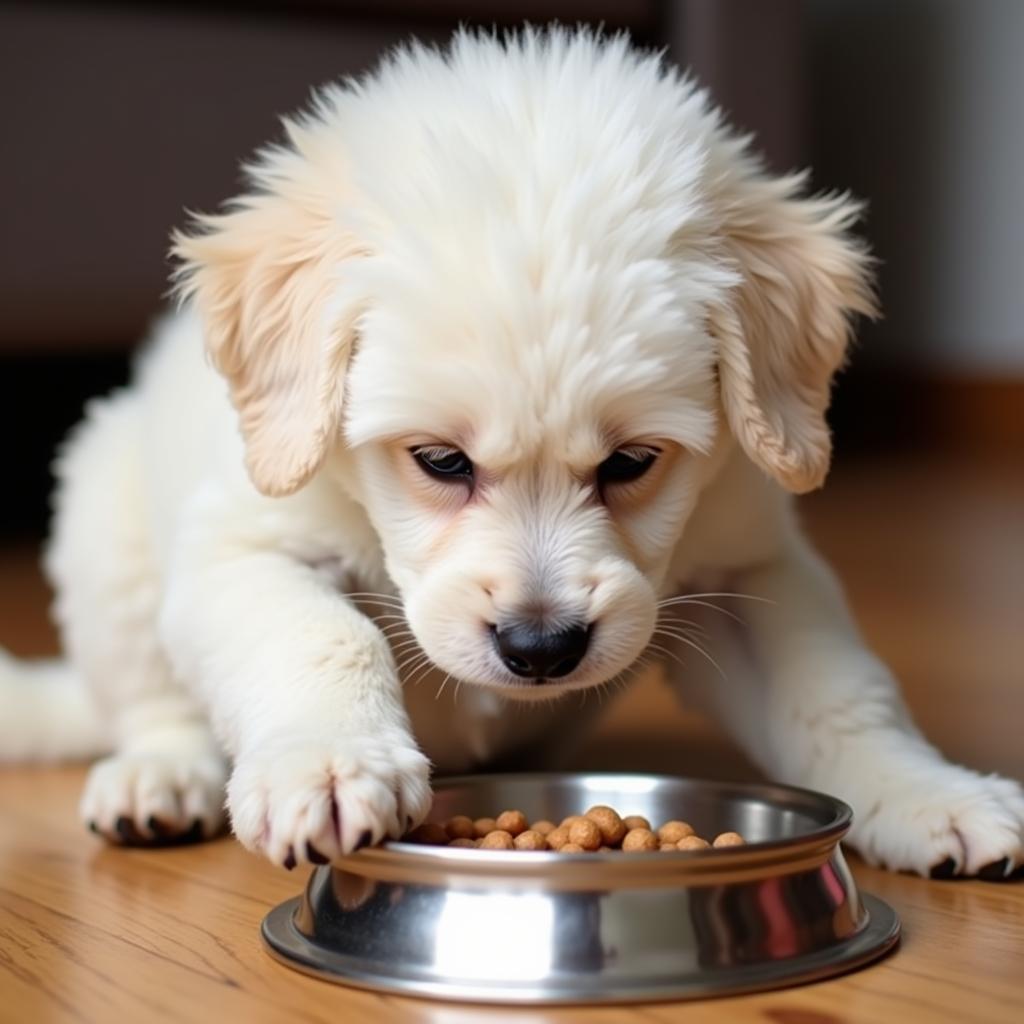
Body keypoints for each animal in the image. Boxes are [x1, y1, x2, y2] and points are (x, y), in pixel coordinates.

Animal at [2, 29, 1024, 880]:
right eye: (440, 460)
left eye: (632, 462)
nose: (542, 649)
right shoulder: (243, 543)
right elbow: (323, 634)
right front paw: (332, 765)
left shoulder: (751, 567)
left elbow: (842, 695)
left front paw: (932, 795)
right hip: (104, 519)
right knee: (147, 700)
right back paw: (157, 778)